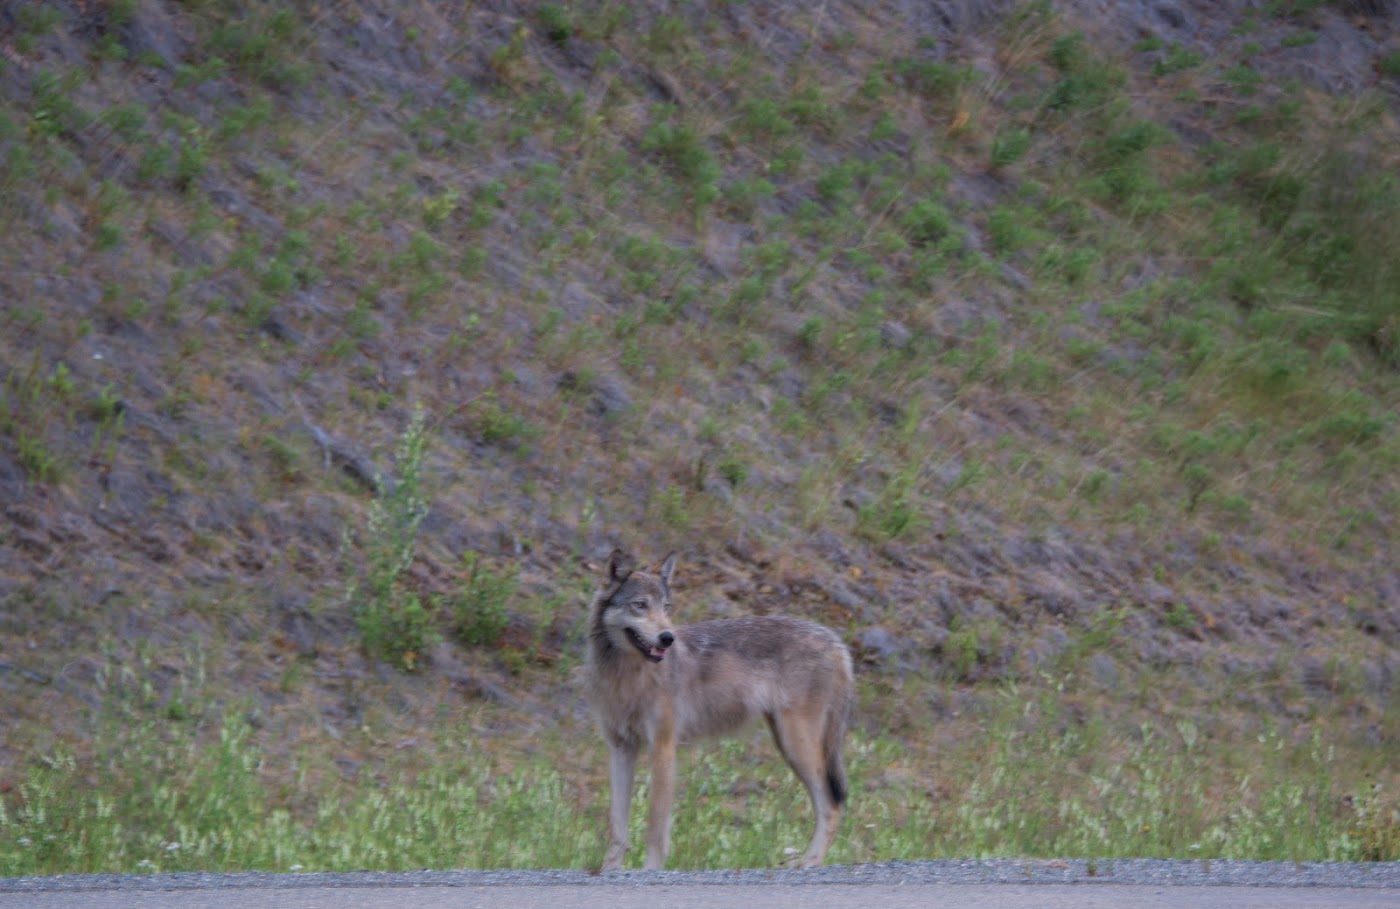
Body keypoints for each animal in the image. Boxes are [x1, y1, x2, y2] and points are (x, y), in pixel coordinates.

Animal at [582, 546, 851, 873]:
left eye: (666, 607)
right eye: (640, 605)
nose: (667, 638)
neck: (627, 676)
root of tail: (835, 641)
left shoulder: (663, 748)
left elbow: (655, 826)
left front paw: (650, 871)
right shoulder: (621, 749)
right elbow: (617, 825)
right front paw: (610, 870)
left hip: (798, 746)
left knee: (831, 804)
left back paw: (809, 861)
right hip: (788, 745)